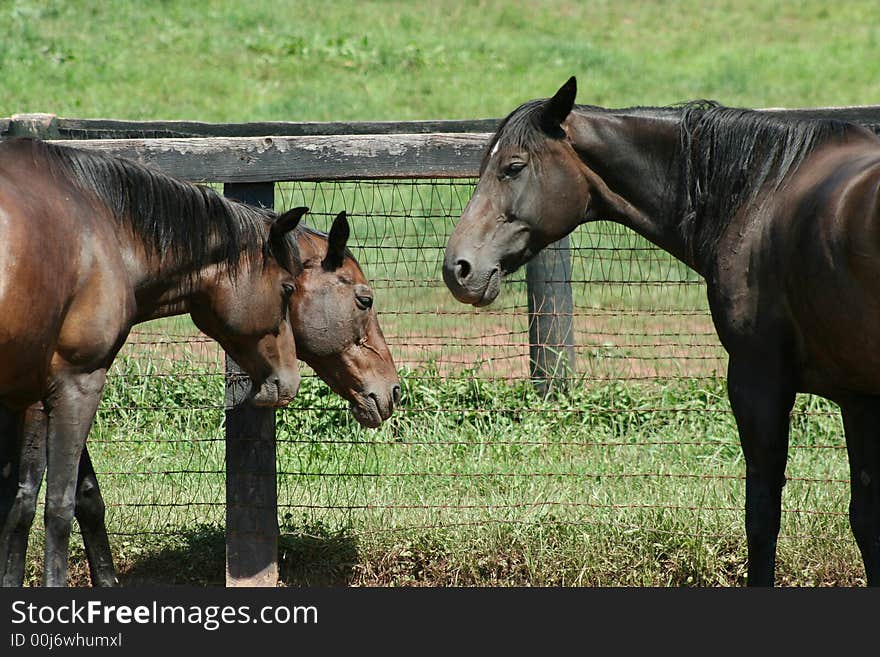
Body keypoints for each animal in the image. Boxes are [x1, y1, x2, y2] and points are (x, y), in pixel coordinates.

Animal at [0, 137, 306, 584]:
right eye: (287, 288)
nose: (289, 380)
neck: (101, 226)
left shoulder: (32, 395)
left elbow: (23, 504)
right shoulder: (78, 382)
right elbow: (59, 506)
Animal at [444, 75, 880, 584]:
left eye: (513, 167)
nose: (458, 268)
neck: (763, 194)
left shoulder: (759, 384)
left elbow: (762, 518)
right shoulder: (858, 398)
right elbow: (865, 521)